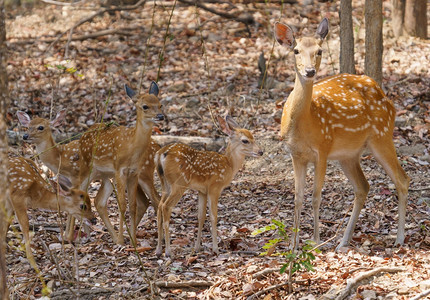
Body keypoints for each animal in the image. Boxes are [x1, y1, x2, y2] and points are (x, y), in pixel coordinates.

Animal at [15, 111, 161, 243]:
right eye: (28, 126)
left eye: (41, 127)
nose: (25, 136)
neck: (60, 159)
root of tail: (157, 147)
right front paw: (83, 234)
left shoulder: (77, 176)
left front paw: (71, 237)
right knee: (142, 201)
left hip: (144, 172)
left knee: (156, 199)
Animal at [78, 81, 164, 245]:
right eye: (145, 106)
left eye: (160, 104)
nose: (161, 116)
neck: (131, 147)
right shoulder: (120, 170)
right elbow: (122, 205)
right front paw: (122, 240)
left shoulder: (134, 172)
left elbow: (132, 206)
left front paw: (132, 240)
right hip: (89, 170)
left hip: (110, 175)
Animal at [155, 115, 262, 258]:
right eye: (245, 140)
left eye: (253, 137)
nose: (261, 152)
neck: (229, 165)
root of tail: (160, 154)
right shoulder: (214, 187)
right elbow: (213, 216)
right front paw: (216, 249)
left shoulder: (202, 191)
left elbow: (201, 216)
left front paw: (197, 247)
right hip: (179, 183)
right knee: (166, 207)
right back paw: (168, 251)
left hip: (165, 183)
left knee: (159, 206)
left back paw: (158, 250)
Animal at [276, 17, 410, 250]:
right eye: (296, 50)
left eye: (319, 51)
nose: (309, 71)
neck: (305, 122)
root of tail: (387, 97)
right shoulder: (295, 155)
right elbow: (297, 198)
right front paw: (293, 246)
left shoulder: (322, 149)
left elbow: (316, 197)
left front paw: (315, 242)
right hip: (348, 154)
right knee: (363, 186)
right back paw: (343, 242)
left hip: (382, 135)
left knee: (402, 180)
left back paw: (399, 238)